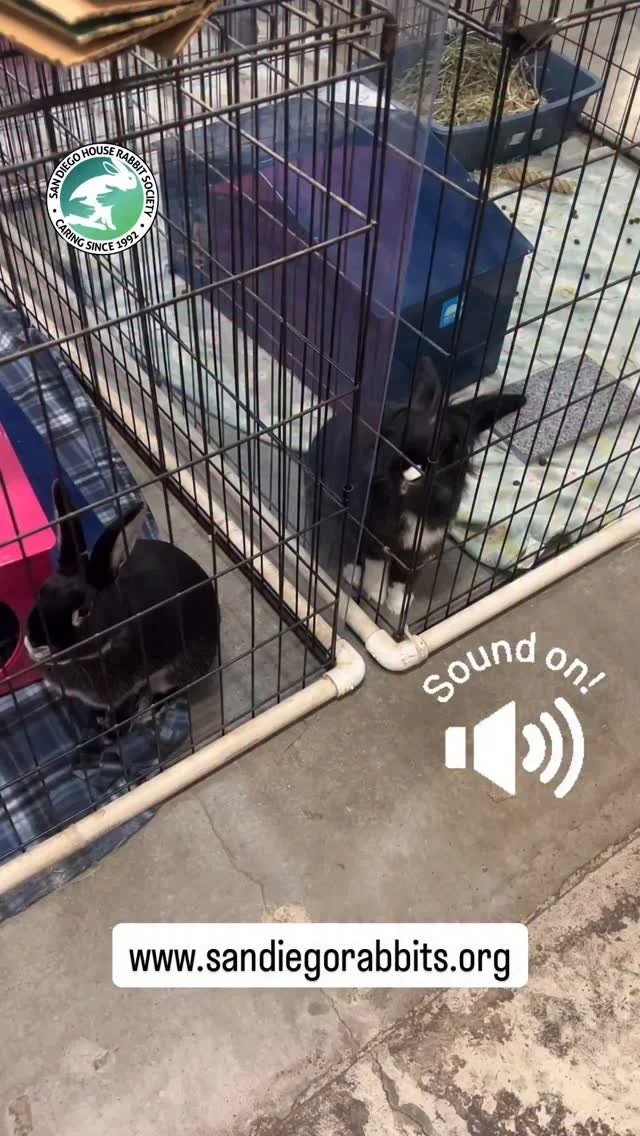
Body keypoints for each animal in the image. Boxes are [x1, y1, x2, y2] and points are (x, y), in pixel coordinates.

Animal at [305, 357, 526, 617]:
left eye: (442, 451)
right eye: (398, 437)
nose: (404, 469)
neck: (410, 501)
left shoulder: (420, 547)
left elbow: (404, 575)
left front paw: (398, 605)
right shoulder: (374, 536)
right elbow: (376, 566)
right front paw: (375, 595)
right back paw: (353, 574)